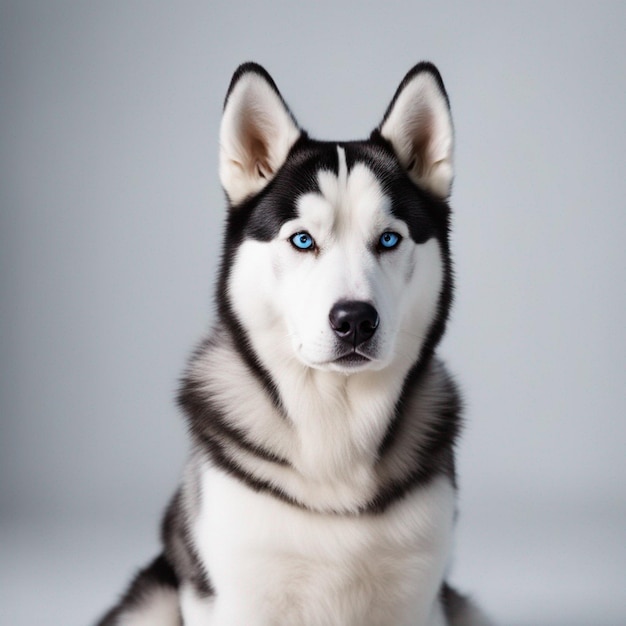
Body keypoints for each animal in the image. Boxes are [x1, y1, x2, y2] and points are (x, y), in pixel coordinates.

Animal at [96, 63, 488, 624]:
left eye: (389, 239)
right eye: (303, 240)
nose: (354, 320)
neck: (335, 432)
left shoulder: (417, 596)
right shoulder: (238, 596)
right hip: (150, 602)